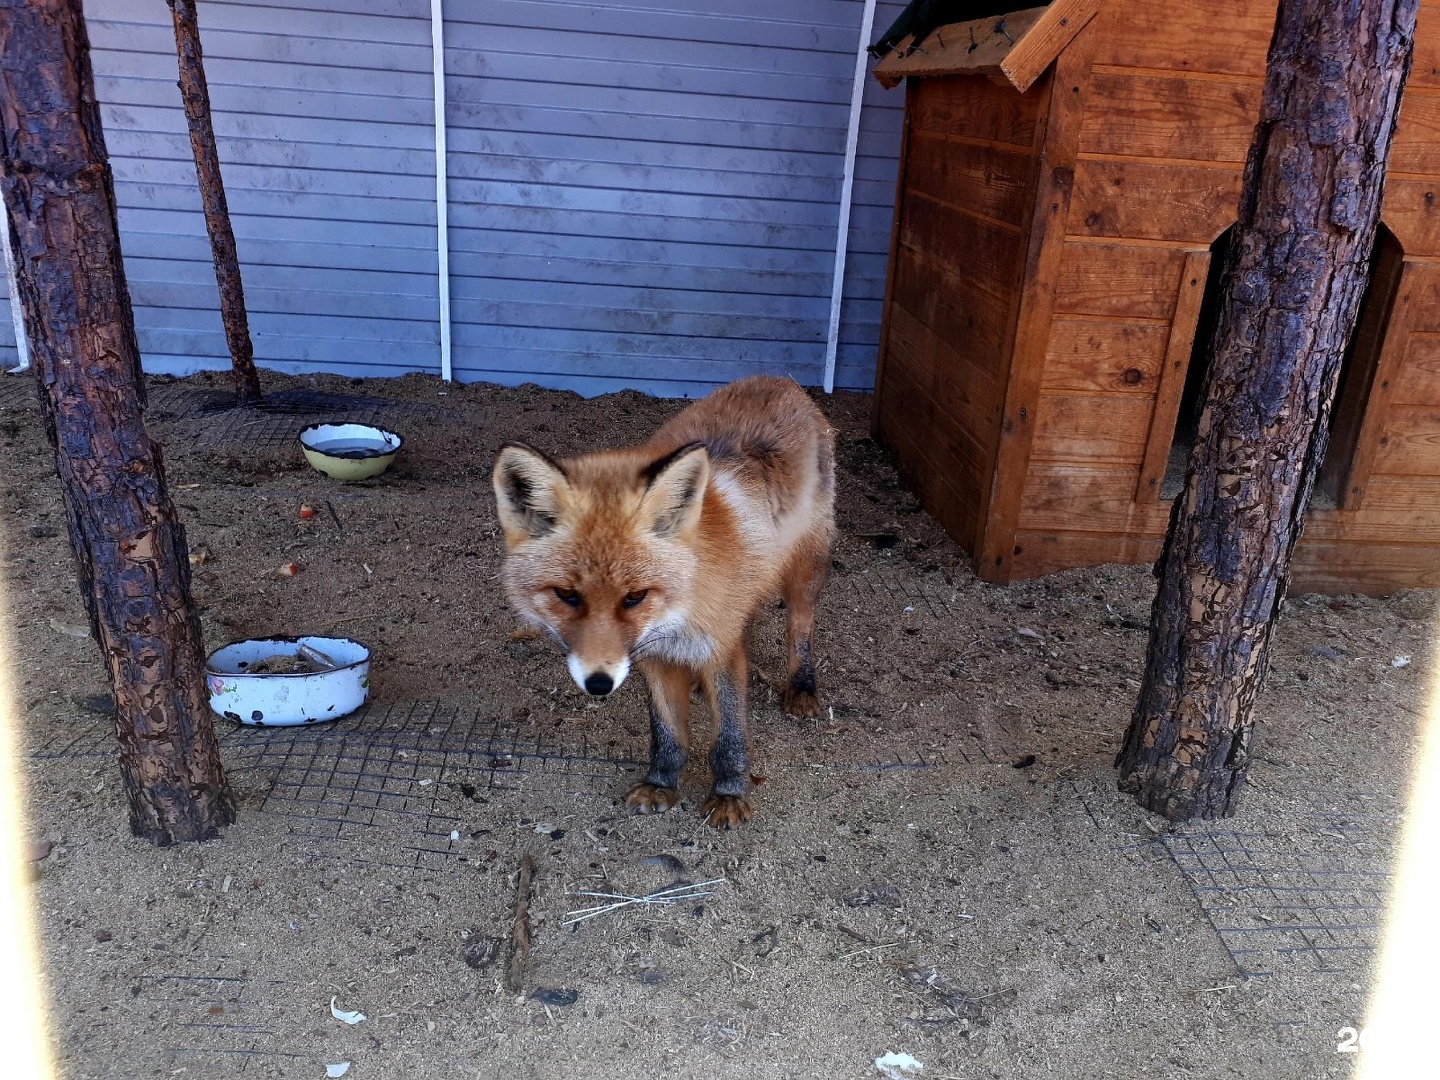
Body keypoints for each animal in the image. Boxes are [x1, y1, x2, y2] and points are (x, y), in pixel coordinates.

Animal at [492, 377, 835, 835]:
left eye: (635, 597)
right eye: (567, 596)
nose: (598, 684)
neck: (678, 612)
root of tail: (780, 380)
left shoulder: (720, 649)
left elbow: (729, 735)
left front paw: (729, 794)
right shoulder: (652, 655)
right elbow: (667, 733)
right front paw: (661, 784)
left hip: (806, 568)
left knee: (800, 626)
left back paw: (801, 686)